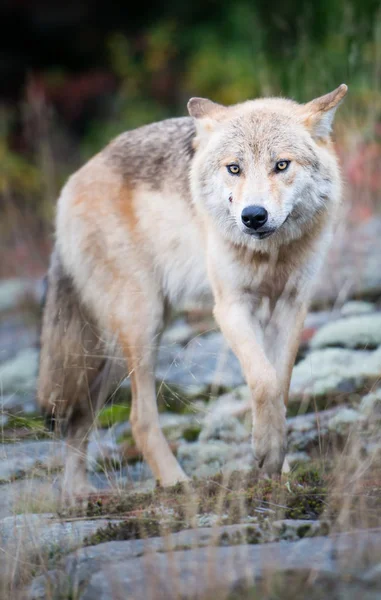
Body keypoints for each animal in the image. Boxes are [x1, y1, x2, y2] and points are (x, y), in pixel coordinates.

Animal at [37, 83, 348, 496]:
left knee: (80, 417)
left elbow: (279, 386)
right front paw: (266, 454)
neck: (271, 254)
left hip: (120, 348)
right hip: (142, 326)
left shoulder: (291, 305)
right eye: (234, 168)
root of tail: (72, 183)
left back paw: (78, 498)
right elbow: (264, 382)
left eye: (281, 165)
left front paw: (277, 469)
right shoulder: (231, 307)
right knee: (137, 419)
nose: (253, 216)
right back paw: (176, 484)